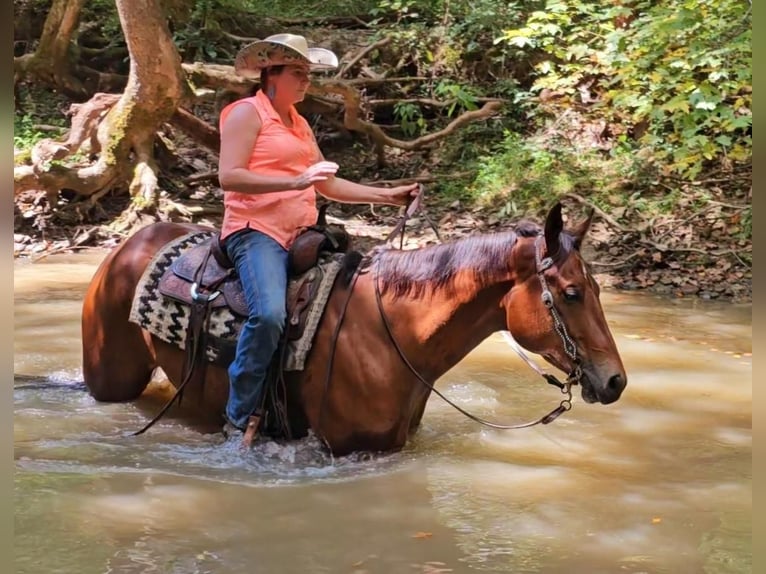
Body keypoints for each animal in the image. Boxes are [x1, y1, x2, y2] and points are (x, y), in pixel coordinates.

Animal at [81, 205, 628, 456]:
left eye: (598, 288)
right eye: (572, 292)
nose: (616, 381)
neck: (396, 336)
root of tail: (131, 241)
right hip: (109, 379)